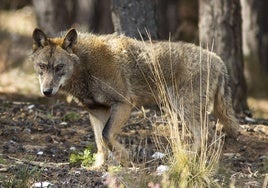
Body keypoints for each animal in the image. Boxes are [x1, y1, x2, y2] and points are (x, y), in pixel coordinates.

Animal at [29, 27, 241, 169]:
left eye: (59, 67)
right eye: (42, 66)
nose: (47, 91)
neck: (87, 67)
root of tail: (218, 60)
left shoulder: (123, 104)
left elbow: (107, 136)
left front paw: (125, 159)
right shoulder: (97, 111)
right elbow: (100, 143)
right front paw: (99, 167)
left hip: (183, 108)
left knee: (207, 136)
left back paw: (186, 160)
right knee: (210, 136)